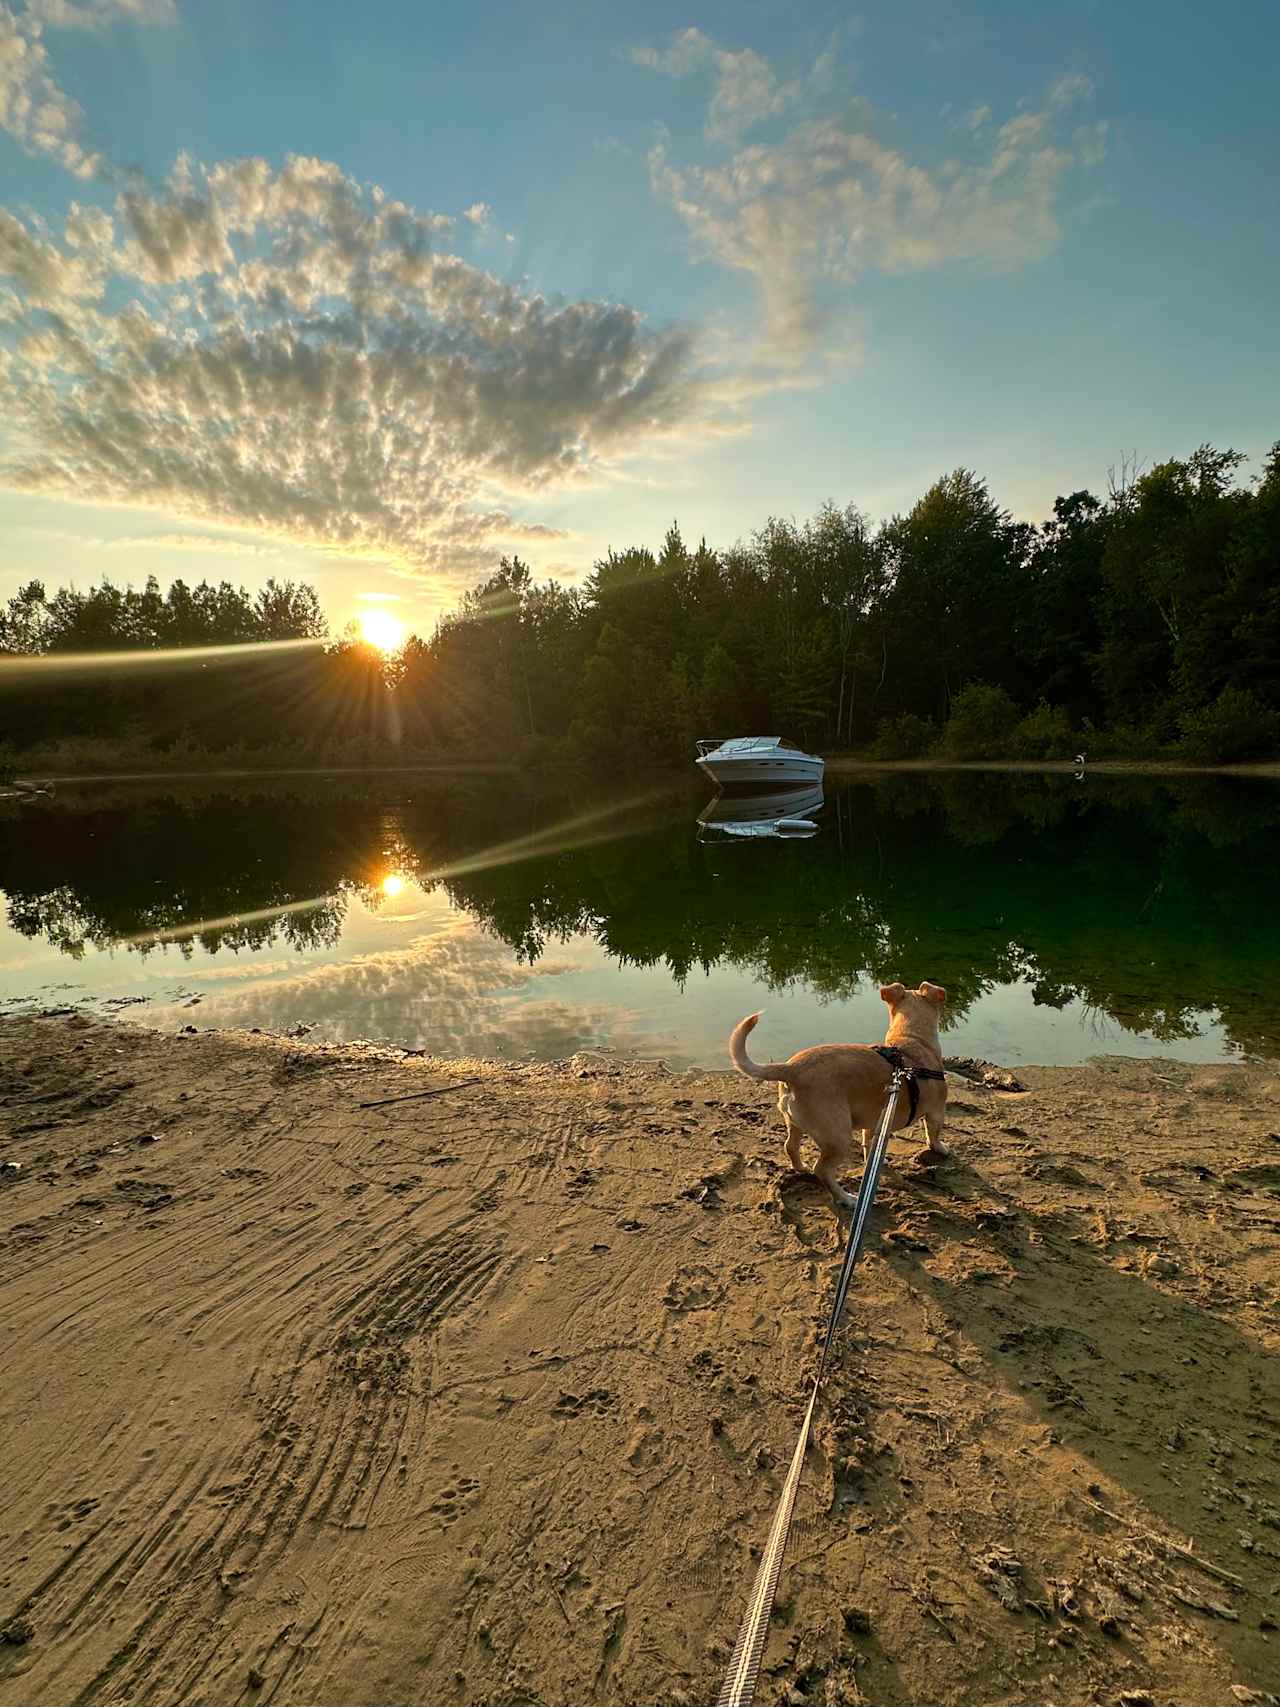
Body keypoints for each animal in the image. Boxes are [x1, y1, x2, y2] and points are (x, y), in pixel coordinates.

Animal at [730, 983, 955, 1208]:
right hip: (838, 1137)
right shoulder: (936, 1112)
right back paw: (846, 1198)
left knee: (790, 1147)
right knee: (822, 1170)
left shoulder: (875, 1122)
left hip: (795, 1124)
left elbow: (870, 1147)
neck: (910, 1039)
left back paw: (801, 1168)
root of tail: (791, 1069)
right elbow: (933, 1134)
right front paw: (941, 1148)